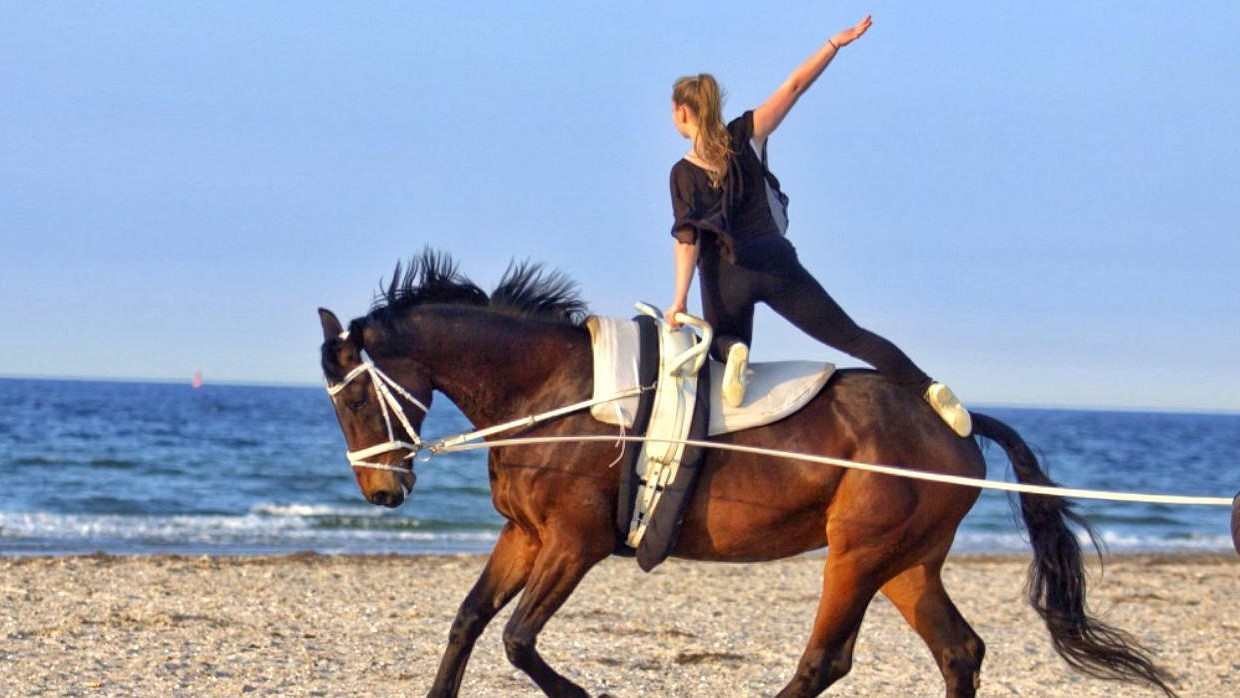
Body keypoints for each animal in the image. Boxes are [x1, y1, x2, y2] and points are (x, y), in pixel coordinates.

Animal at [314, 252, 1175, 698]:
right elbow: (469, 622)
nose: (382, 494)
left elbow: (520, 639)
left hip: (858, 553)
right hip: (907, 563)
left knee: (828, 659)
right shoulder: (525, 536)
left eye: (354, 397)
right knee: (959, 651)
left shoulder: (575, 543)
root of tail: (955, 422)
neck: (555, 394)